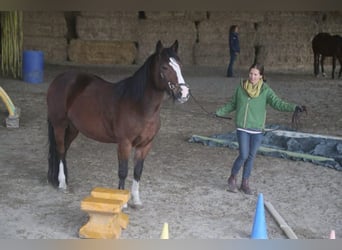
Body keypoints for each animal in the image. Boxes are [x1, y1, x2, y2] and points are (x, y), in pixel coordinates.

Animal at [46, 39, 190, 207]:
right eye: (164, 67)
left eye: (180, 65)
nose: (184, 93)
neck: (138, 105)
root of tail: (60, 79)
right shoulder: (124, 143)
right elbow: (123, 171)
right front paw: (123, 201)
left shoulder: (145, 145)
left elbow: (138, 171)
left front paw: (136, 200)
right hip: (59, 125)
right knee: (61, 150)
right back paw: (62, 183)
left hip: (73, 128)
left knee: (64, 150)